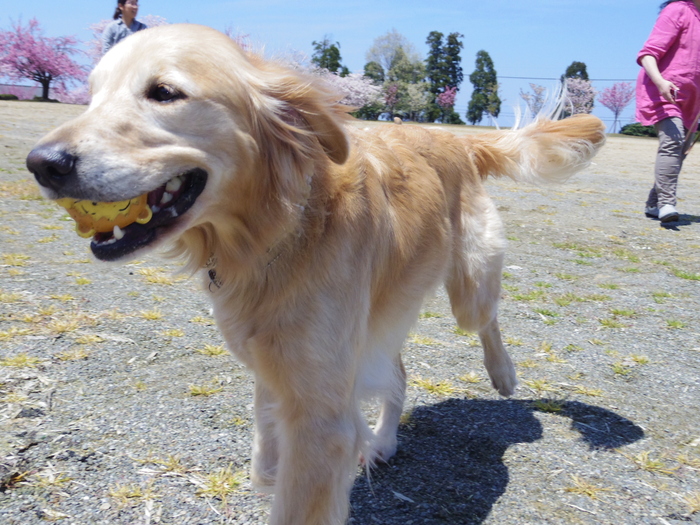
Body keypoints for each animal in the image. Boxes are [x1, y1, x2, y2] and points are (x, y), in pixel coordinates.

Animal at [27, 23, 604, 520]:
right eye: (92, 95)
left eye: (164, 93)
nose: (42, 163)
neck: (275, 233)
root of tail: (456, 138)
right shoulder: (280, 365)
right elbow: (267, 434)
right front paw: (267, 467)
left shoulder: (319, 418)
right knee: (397, 373)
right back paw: (383, 441)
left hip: (469, 285)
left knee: (486, 321)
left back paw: (503, 375)